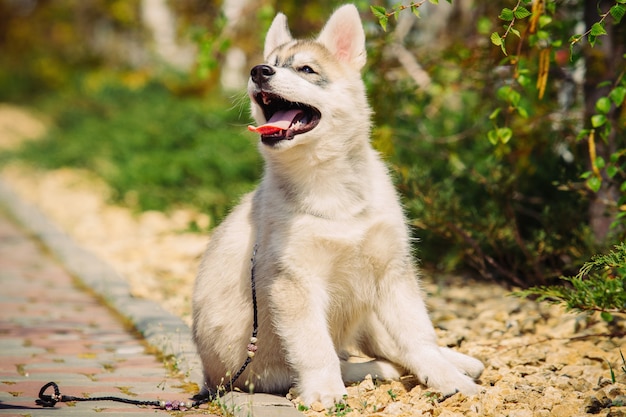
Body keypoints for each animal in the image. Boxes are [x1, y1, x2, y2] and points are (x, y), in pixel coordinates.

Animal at [190, 3, 482, 406]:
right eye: (271, 63)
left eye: (306, 70)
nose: (258, 71)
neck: (331, 190)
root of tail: (210, 380)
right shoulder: (294, 282)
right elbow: (316, 350)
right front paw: (326, 392)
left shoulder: (393, 271)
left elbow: (419, 335)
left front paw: (447, 377)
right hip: (267, 371)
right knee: (347, 360)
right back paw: (377, 371)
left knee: (389, 344)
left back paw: (458, 362)